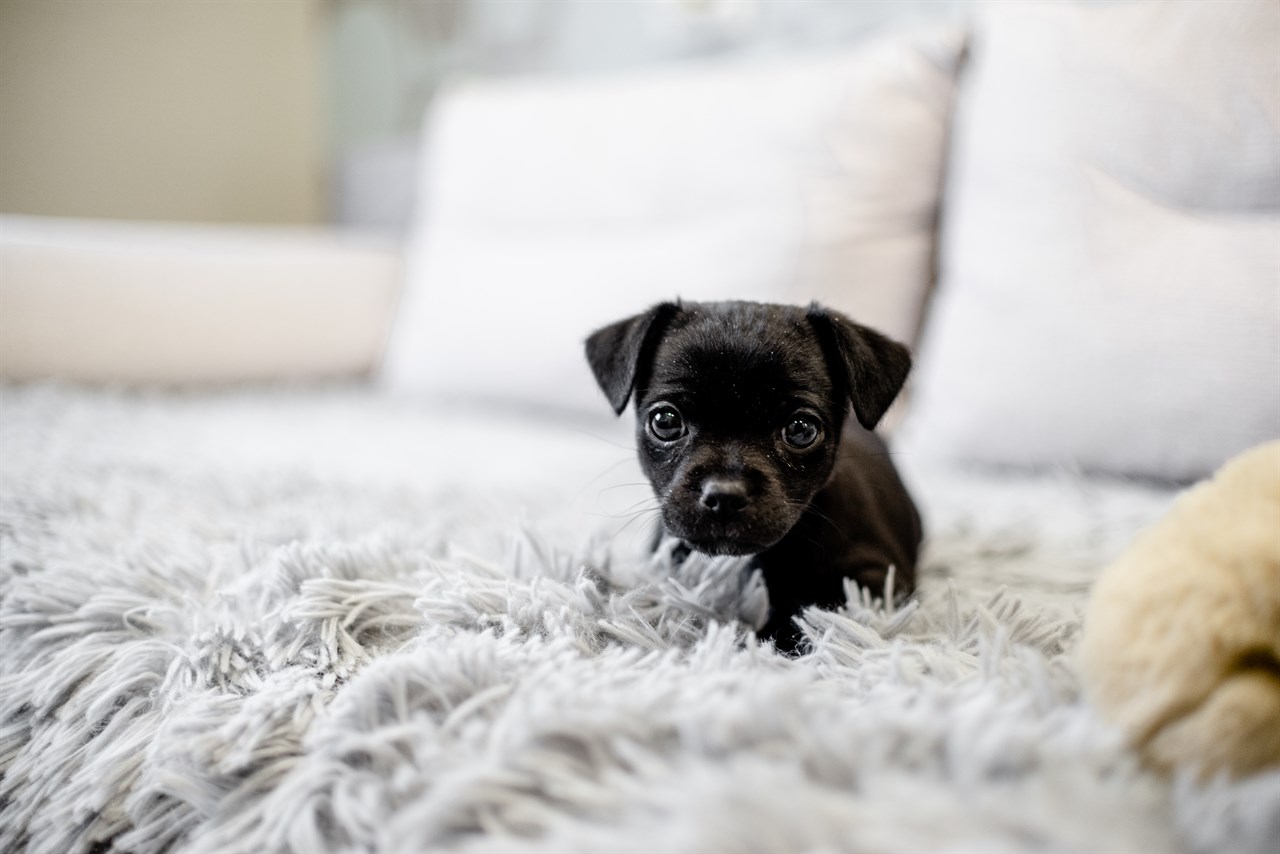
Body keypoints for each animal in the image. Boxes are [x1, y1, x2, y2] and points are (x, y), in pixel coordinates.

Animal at [586, 302, 926, 655]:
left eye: (801, 430)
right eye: (665, 421)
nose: (724, 495)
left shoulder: (877, 578)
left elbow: (814, 609)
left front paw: (773, 640)